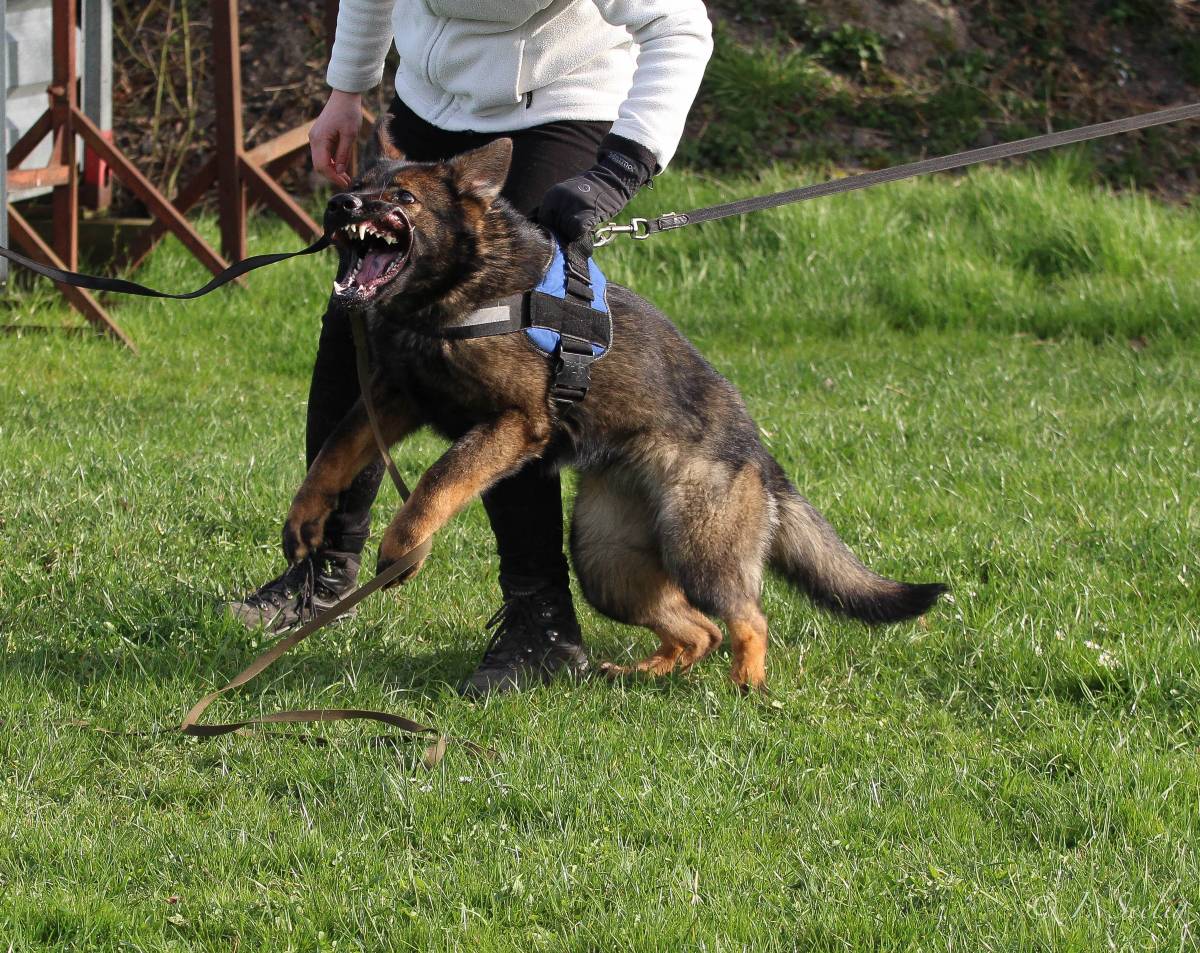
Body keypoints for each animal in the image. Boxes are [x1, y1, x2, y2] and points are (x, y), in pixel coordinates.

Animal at [283, 130, 945, 686]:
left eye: (401, 197)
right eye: (359, 183)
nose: (340, 205)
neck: (464, 286)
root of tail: (758, 452)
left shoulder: (515, 423)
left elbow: (435, 481)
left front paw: (403, 546)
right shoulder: (393, 400)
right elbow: (333, 456)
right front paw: (306, 517)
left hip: (696, 550)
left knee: (748, 617)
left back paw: (748, 685)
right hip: (605, 564)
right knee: (698, 629)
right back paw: (651, 670)